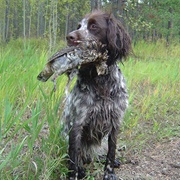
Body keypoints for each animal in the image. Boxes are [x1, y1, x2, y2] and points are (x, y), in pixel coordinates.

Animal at [63, 10, 131, 180]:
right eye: (78, 26)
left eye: (94, 26)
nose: (69, 37)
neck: (101, 81)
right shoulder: (77, 124)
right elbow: (74, 158)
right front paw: (75, 174)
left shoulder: (115, 121)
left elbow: (111, 151)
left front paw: (109, 173)